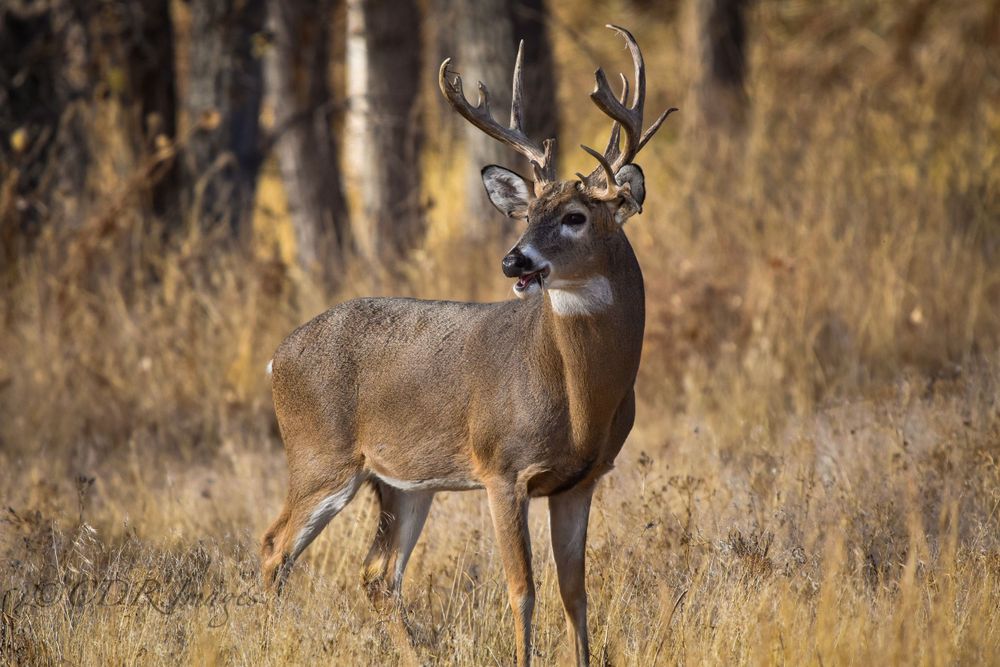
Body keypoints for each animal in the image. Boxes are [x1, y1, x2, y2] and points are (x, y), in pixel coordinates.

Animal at [260, 25, 674, 667]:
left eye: (576, 216)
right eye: (527, 214)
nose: (514, 260)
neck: (581, 399)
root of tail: (278, 357)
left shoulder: (582, 480)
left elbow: (575, 592)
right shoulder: (502, 468)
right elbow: (522, 590)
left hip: (402, 481)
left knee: (377, 573)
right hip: (319, 455)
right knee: (274, 548)